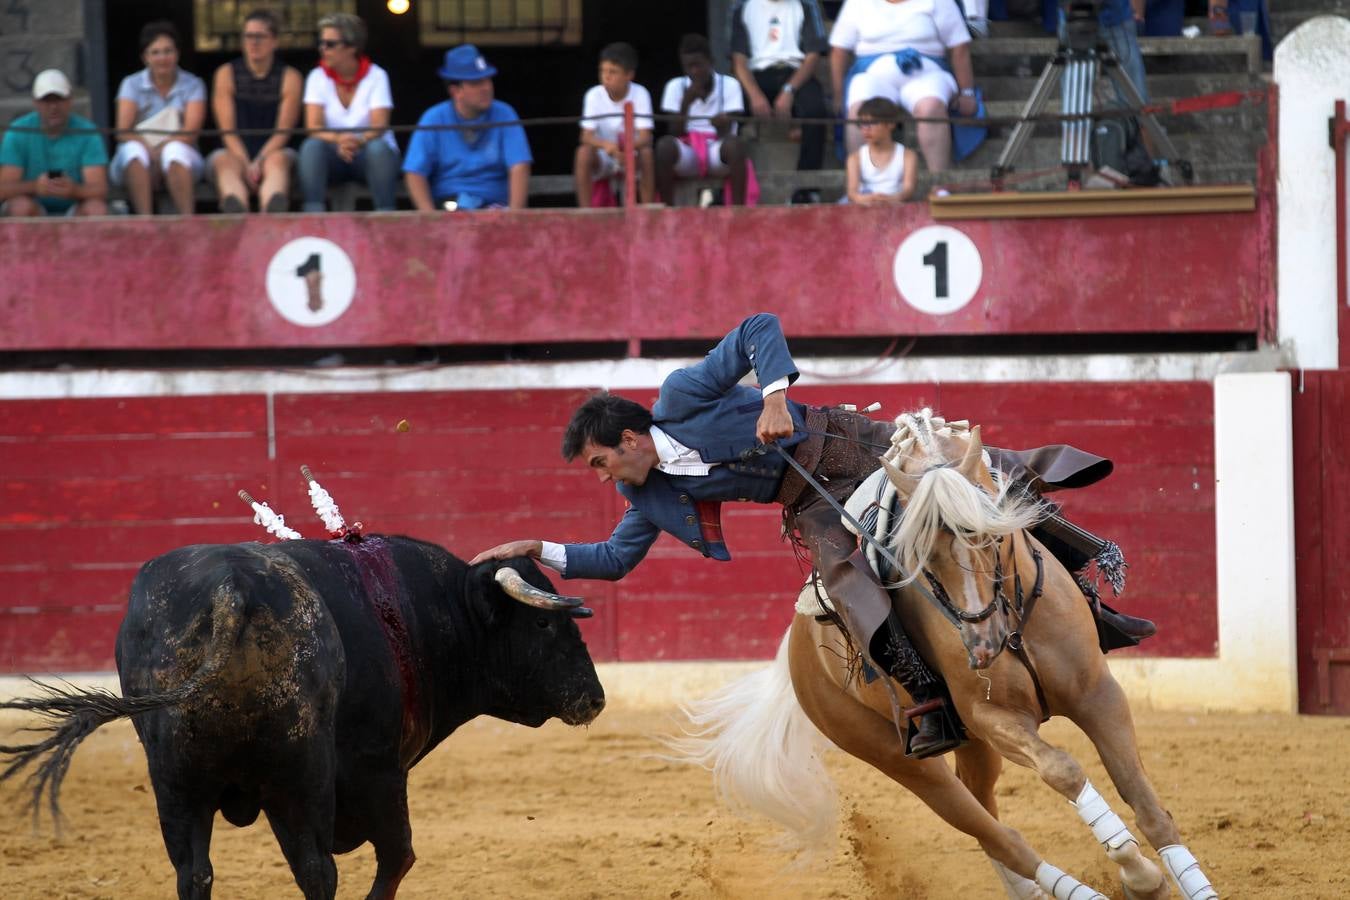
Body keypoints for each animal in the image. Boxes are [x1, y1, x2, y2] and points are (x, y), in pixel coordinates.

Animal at [0, 539, 604, 895]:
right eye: (545, 625)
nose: (594, 698)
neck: (421, 610)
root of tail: (230, 592)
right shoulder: (379, 773)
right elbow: (398, 857)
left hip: (175, 781)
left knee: (193, 873)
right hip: (302, 776)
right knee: (321, 870)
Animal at [680, 412, 1220, 900]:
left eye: (990, 534)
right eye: (921, 556)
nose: (981, 648)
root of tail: (796, 645)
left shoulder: (1098, 695)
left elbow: (1147, 805)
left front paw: (1190, 885)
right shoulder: (991, 716)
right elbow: (1063, 769)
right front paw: (1141, 876)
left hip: (973, 748)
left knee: (987, 814)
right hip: (902, 760)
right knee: (991, 831)